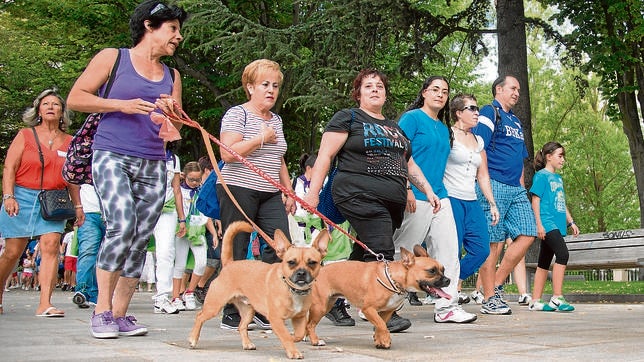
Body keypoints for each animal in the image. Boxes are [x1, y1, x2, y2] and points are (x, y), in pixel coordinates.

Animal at [186, 221, 328, 360]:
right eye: (291, 262)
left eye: (312, 263)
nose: (301, 273)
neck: (291, 289)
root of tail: (229, 264)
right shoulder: (276, 319)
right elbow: (286, 335)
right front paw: (293, 351)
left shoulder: (299, 318)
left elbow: (298, 334)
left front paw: (293, 339)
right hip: (214, 307)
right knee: (200, 317)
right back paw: (193, 339)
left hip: (248, 311)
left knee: (241, 326)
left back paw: (247, 344)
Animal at [306, 245, 448, 350]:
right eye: (431, 271)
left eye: (443, 270)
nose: (448, 280)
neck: (394, 278)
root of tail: (319, 270)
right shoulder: (368, 309)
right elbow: (381, 324)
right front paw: (385, 339)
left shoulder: (386, 311)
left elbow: (381, 324)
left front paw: (379, 339)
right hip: (320, 306)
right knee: (311, 324)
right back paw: (315, 341)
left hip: (328, 303)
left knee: (309, 322)